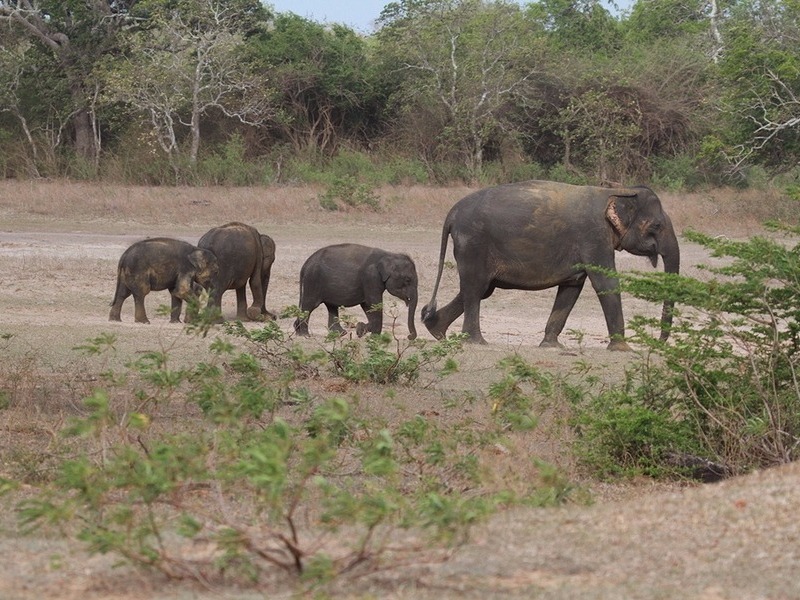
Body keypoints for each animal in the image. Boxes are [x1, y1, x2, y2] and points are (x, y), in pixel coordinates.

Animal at [422, 180, 680, 350]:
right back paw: (477, 342)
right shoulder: (594, 237)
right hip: (473, 244)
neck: (616, 191)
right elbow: (606, 283)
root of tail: (451, 214)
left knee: (478, 289)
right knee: (476, 288)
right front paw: (622, 350)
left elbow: (571, 288)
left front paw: (552, 346)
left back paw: (436, 330)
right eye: (656, 226)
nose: (657, 344)